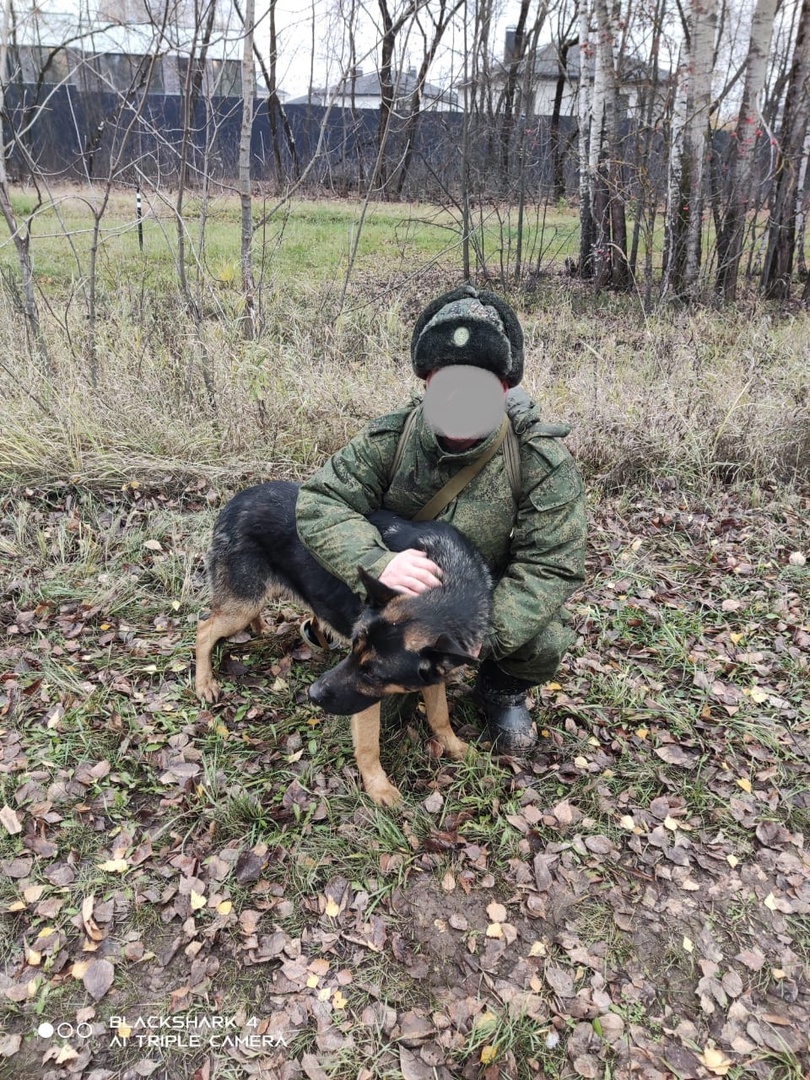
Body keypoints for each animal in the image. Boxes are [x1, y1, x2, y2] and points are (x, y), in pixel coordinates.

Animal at [195, 481, 494, 803]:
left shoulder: (431, 676)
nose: (313, 694)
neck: (449, 587)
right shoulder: (362, 698)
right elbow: (369, 745)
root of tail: (238, 499)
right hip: (241, 605)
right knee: (203, 631)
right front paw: (379, 787)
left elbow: (440, 716)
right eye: (353, 648)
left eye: (374, 673)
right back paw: (204, 683)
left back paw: (260, 628)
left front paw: (455, 747)